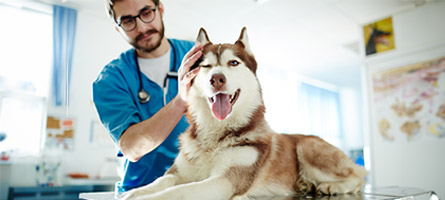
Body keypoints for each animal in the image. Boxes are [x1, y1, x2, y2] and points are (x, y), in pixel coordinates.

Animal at [119, 27, 366, 200]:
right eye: (206, 66)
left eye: (233, 63)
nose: (217, 78)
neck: (216, 135)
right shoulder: (178, 172)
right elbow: (160, 181)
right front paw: (135, 192)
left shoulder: (225, 180)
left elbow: (178, 191)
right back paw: (306, 184)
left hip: (308, 147)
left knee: (358, 175)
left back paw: (330, 186)